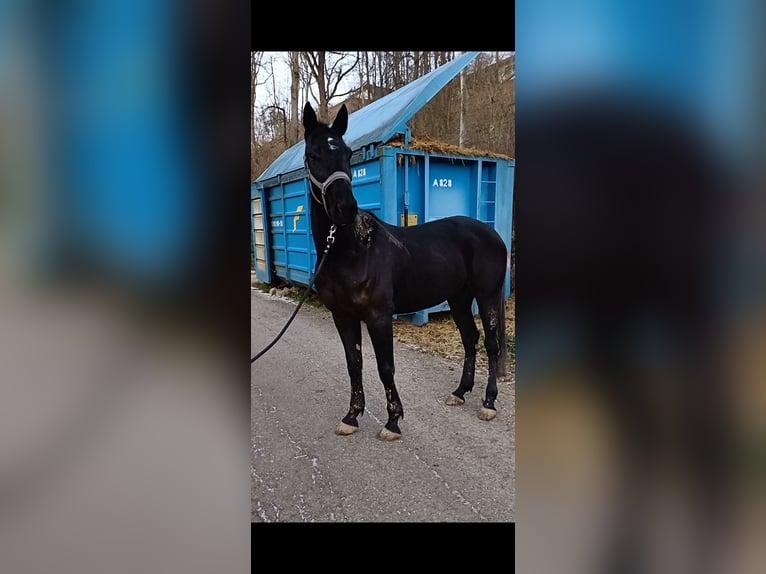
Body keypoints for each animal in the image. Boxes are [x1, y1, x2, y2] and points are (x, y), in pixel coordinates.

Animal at [304, 102, 510, 440]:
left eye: (347, 153)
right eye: (312, 154)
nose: (345, 209)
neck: (352, 250)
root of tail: (492, 234)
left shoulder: (378, 316)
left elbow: (385, 366)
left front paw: (393, 421)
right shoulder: (342, 316)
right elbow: (354, 364)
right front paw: (352, 417)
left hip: (487, 296)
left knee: (491, 345)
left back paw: (489, 403)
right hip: (459, 298)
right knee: (470, 339)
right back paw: (459, 392)